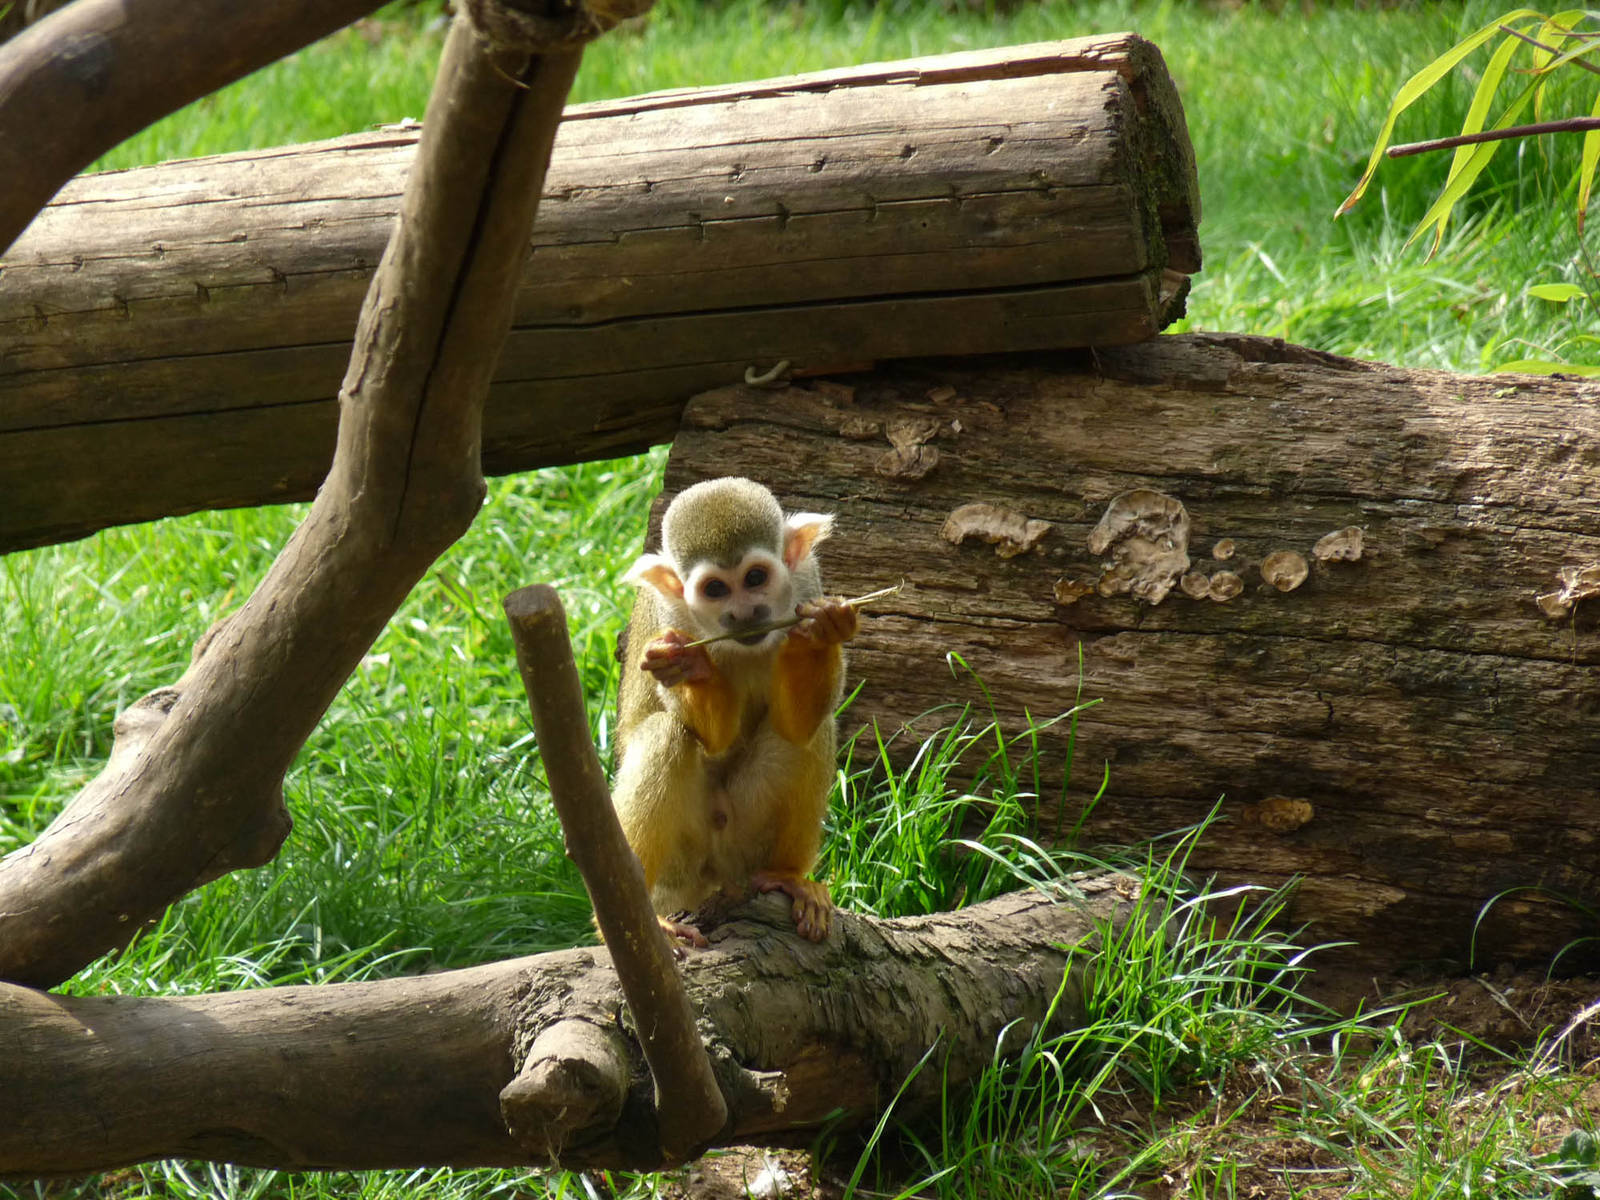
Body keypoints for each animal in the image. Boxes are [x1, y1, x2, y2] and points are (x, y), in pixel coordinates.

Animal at [612, 476, 858, 947]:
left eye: (755, 578)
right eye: (715, 589)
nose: (744, 613)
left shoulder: (806, 580)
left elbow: (797, 723)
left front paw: (821, 633)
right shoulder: (669, 619)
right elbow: (711, 737)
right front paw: (690, 667)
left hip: (747, 849)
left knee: (811, 731)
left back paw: (788, 877)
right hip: (682, 867)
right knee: (664, 733)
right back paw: (638, 921)